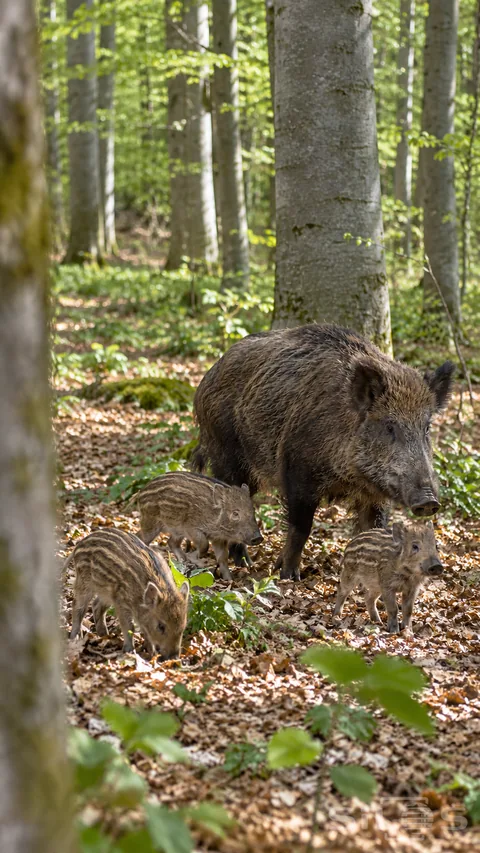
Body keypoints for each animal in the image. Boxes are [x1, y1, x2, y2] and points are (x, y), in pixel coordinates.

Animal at [67, 528, 189, 658]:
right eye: (161, 626)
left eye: (183, 625)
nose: (174, 657)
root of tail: (80, 543)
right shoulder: (122, 602)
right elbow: (129, 626)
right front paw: (130, 651)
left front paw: (150, 652)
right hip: (84, 582)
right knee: (78, 607)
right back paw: (75, 637)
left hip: (107, 592)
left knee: (96, 605)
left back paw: (104, 635)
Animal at [125, 471, 263, 580]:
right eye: (235, 513)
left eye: (253, 510)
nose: (258, 537)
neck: (215, 517)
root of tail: (140, 492)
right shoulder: (191, 528)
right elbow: (204, 545)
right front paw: (197, 561)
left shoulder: (218, 538)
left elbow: (223, 557)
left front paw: (229, 580)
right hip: (151, 522)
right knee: (140, 537)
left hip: (175, 530)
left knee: (171, 542)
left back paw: (183, 562)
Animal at [192, 323, 455, 581]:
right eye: (390, 426)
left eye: (427, 427)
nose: (429, 501)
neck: (350, 476)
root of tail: (207, 379)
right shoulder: (297, 471)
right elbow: (301, 528)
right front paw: (288, 576)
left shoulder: (374, 495)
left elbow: (373, 530)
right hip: (226, 454)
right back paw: (243, 563)